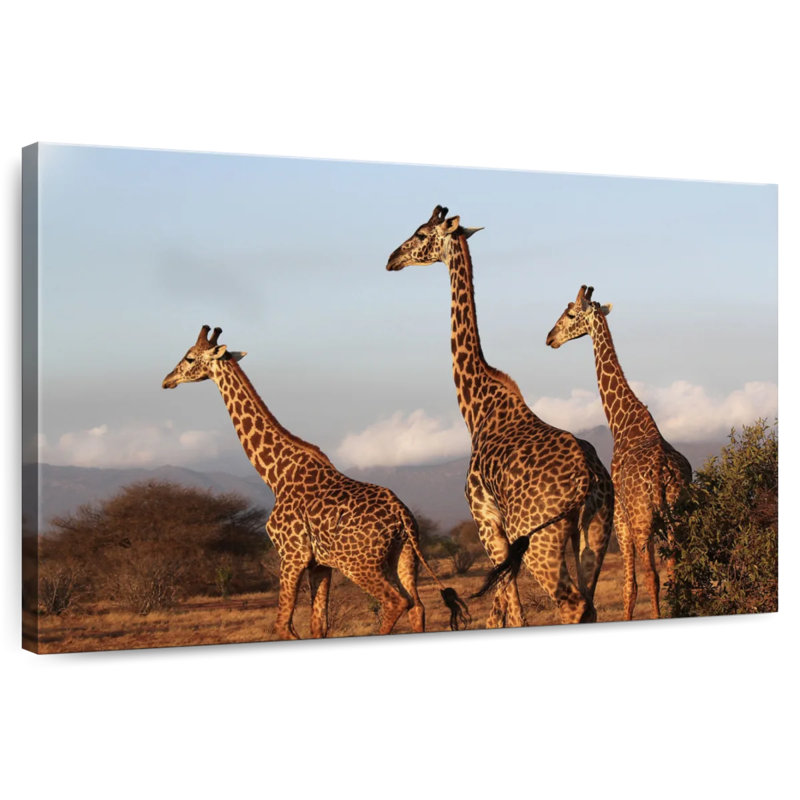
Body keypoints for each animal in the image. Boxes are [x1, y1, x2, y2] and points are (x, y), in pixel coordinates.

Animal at [162, 325, 469, 640]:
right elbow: (318, 625)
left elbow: (283, 625)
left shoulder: (291, 554)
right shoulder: (320, 564)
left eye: (188, 358)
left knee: (396, 601)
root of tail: (402, 516)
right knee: (417, 606)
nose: (166, 380)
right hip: (405, 555)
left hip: (359, 564)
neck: (275, 475)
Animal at [386, 206, 614, 626]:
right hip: (596, 527)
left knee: (571, 604)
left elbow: (509, 609)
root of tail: (589, 479)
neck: (476, 410)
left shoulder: (486, 520)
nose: (392, 258)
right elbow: (502, 608)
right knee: (588, 604)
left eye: (422, 234)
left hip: (541, 538)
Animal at [546, 285, 692, 619]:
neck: (624, 421)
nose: (550, 338)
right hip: (677, 516)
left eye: (570, 314)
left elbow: (630, 586)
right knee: (679, 567)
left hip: (642, 521)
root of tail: (663, 471)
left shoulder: (622, 520)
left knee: (652, 576)